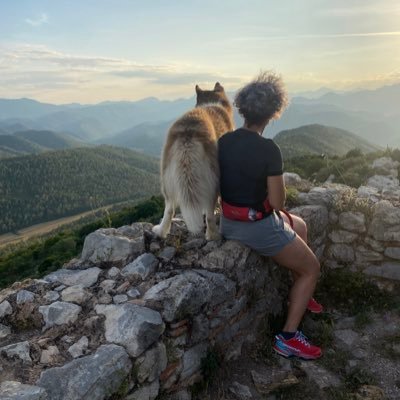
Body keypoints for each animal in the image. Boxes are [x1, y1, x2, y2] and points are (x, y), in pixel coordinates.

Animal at [152, 79, 234, 239]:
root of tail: (189, 131)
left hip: (167, 181)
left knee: (169, 209)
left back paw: (161, 231)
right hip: (213, 180)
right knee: (209, 213)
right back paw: (213, 235)